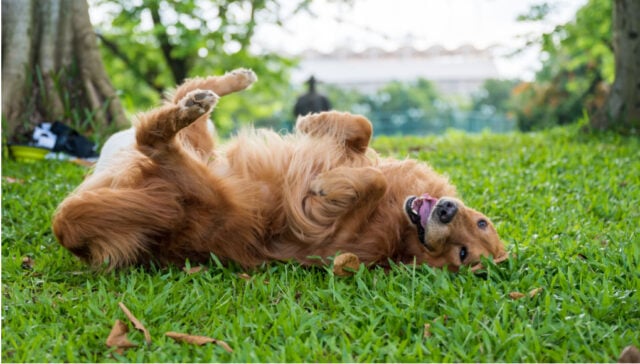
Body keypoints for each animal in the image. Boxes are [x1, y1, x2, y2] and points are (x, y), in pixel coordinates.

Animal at [52, 69, 508, 272]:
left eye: (463, 255)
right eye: (481, 222)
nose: (447, 210)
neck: (399, 224)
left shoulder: (335, 238)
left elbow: (366, 184)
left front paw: (326, 185)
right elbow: (363, 129)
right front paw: (318, 120)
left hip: (211, 193)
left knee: (152, 136)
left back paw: (188, 111)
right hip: (205, 151)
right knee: (186, 89)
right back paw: (228, 84)